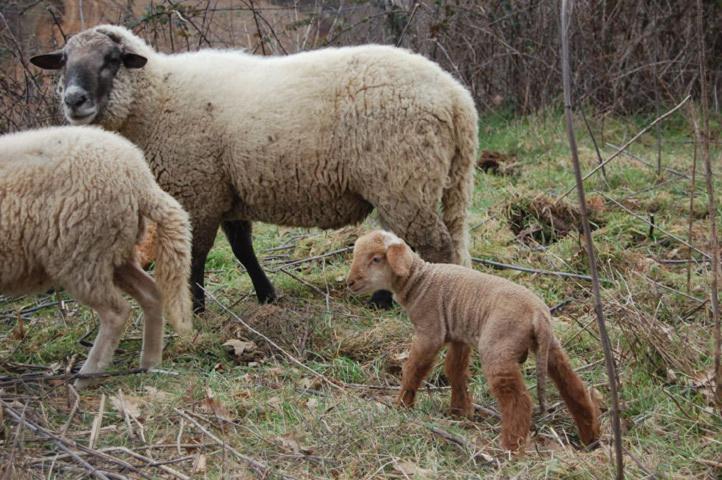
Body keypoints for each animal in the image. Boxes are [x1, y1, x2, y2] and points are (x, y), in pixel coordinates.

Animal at [0, 125, 193, 388]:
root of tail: (140, 179)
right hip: (111, 253)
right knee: (151, 293)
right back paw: (149, 363)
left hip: (81, 254)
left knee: (116, 313)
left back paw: (85, 376)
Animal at [32, 25, 478, 312]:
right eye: (63, 61)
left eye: (111, 60)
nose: (73, 100)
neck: (156, 97)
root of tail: (456, 97)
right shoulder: (228, 191)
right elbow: (242, 249)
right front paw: (267, 295)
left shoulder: (198, 190)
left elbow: (197, 254)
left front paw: (196, 308)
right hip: (413, 182)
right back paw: (383, 299)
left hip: (404, 177)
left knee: (435, 244)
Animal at [346, 231, 600, 452]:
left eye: (376, 259)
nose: (349, 282)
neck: (419, 280)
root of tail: (537, 313)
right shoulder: (459, 335)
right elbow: (455, 370)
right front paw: (459, 412)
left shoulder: (430, 332)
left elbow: (414, 368)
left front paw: (402, 405)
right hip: (550, 347)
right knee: (573, 386)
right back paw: (590, 437)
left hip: (498, 347)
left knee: (518, 400)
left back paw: (510, 447)